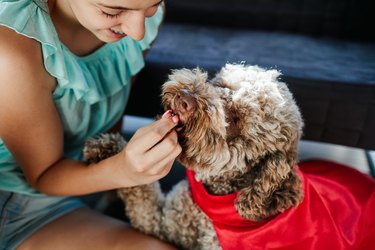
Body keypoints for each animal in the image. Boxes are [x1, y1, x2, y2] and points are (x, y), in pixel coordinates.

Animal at [84, 63, 375, 249]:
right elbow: (139, 191)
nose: (185, 98)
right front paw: (110, 149)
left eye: (236, 120)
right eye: (220, 84)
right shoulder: (163, 226)